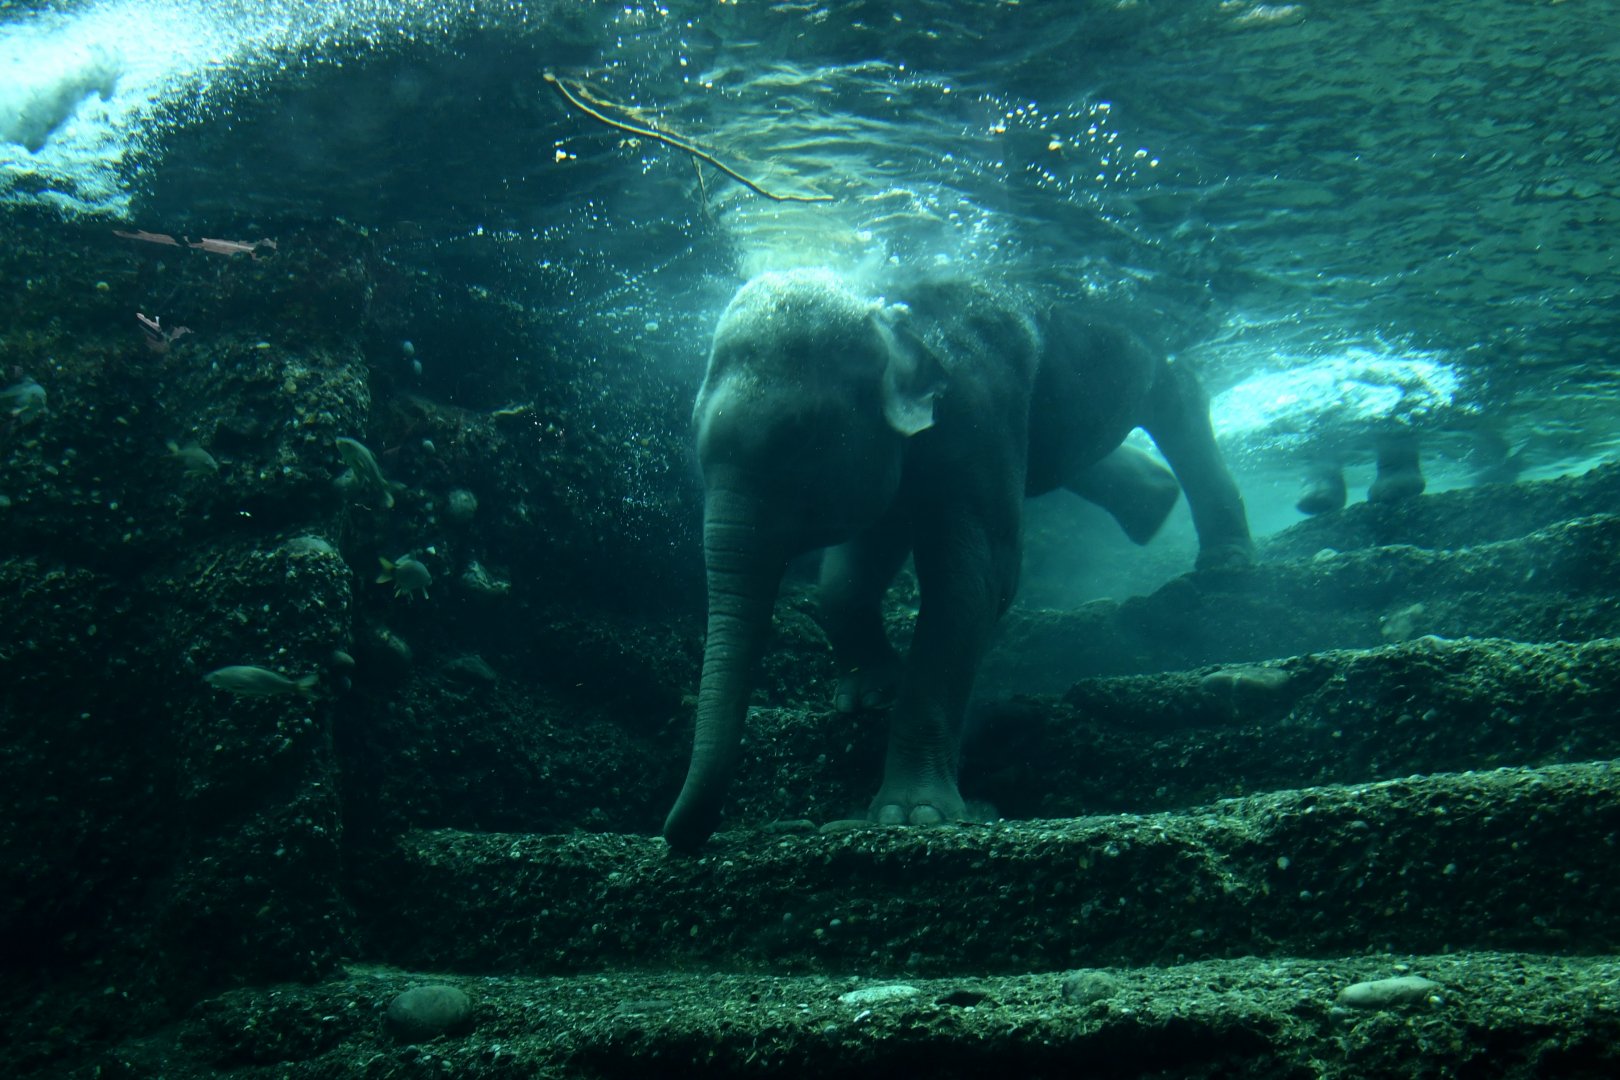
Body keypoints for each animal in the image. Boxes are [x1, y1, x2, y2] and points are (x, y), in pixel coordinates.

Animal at [663, 268, 1254, 851]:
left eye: (801, 435)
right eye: (692, 435)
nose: (682, 835)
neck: (892, 317)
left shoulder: (979, 417)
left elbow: (974, 582)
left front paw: (911, 816)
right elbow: (852, 570)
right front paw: (870, 697)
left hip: (1128, 355)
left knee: (1175, 390)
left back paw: (1222, 560)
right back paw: (1155, 501)